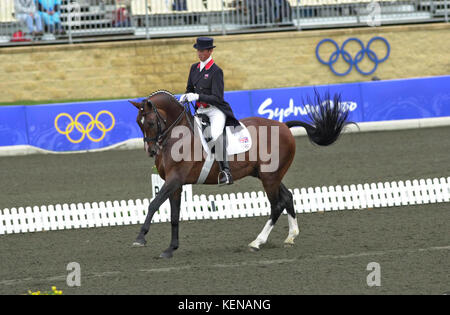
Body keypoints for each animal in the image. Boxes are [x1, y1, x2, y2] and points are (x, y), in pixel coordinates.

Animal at [128, 90, 350, 258]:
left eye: (150, 122)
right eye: (138, 123)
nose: (151, 151)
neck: (177, 136)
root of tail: (283, 126)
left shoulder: (175, 179)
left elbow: (154, 204)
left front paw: (140, 238)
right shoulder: (176, 183)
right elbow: (174, 215)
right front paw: (170, 249)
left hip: (270, 177)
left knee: (277, 205)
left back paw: (257, 242)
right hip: (267, 175)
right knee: (287, 197)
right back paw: (290, 237)